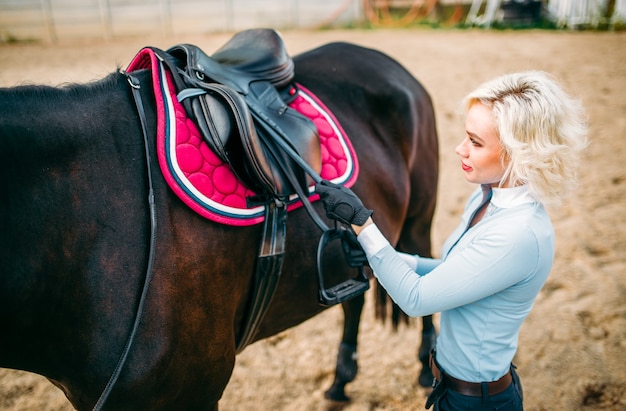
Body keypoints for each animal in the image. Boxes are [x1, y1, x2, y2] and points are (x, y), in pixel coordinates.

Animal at [0, 31, 436, 408]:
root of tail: (382, 59)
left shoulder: (197, 386)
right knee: (355, 299)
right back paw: (341, 382)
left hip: (419, 221)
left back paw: (427, 373)